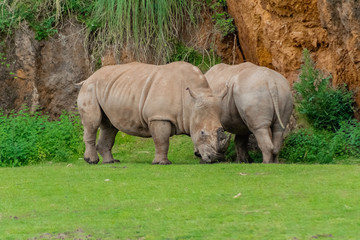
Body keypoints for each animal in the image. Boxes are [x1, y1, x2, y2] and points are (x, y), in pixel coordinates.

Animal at [77, 61, 229, 164]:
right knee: (93, 123)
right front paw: (162, 163)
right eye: (202, 133)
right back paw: (91, 161)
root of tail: (88, 78)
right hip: (90, 88)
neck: (190, 104)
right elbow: (162, 140)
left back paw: (111, 162)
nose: (217, 158)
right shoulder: (159, 117)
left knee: (109, 127)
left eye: (223, 129)